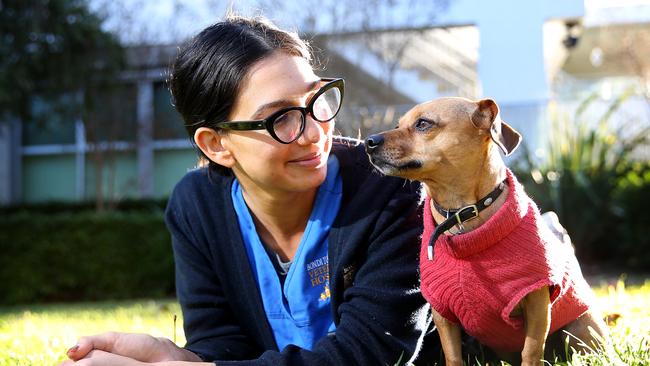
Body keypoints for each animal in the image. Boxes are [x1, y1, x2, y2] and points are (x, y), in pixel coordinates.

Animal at [362, 97, 604, 366]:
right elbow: (453, 356)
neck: (461, 214)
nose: (369, 142)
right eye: (398, 125)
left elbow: (531, 351)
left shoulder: (537, 303)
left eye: (423, 123)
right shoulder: (443, 315)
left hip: (580, 332)